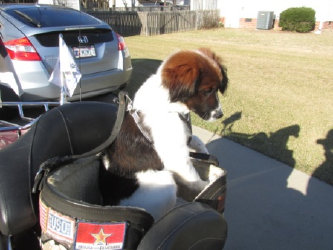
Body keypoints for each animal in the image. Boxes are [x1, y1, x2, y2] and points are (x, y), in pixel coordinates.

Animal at [101, 47, 226, 220]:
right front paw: (206, 186)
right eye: (207, 91)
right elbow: (194, 179)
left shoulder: (183, 136)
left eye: (217, 89)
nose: (220, 115)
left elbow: (197, 139)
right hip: (166, 181)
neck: (172, 108)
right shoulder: (177, 157)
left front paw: (204, 152)